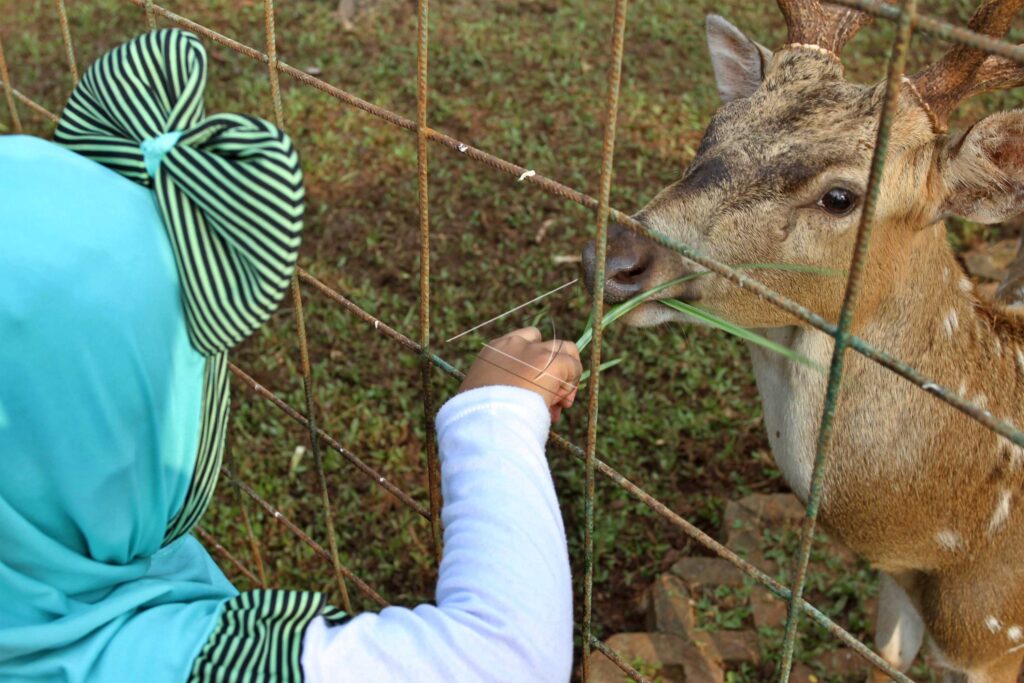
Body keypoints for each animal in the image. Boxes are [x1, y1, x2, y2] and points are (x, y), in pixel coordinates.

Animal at [581, 0, 1024, 680]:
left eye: (841, 196)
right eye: (712, 131)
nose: (617, 256)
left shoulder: (999, 640)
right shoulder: (898, 588)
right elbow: (884, 660)